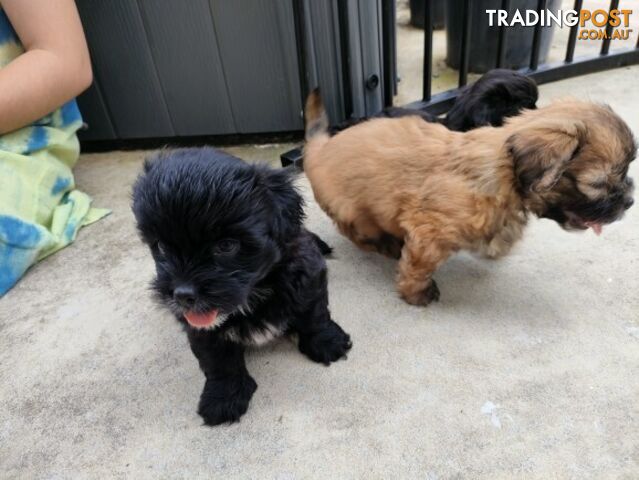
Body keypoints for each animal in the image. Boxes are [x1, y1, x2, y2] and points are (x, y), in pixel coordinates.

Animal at [132, 148, 352, 426]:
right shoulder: (199, 327)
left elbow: (314, 314)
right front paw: (223, 396)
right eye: (160, 246)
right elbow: (217, 360)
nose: (182, 295)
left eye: (226, 246)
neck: (253, 293)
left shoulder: (306, 275)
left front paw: (327, 342)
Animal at [304, 92, 636, 306]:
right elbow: (419, 266)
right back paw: (387, 245)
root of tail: (319, 149)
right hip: (354, 213)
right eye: (598, 183)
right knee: (359, 233)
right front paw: (416, 294)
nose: (630, 202)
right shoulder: (430, 233)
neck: (499, 172)